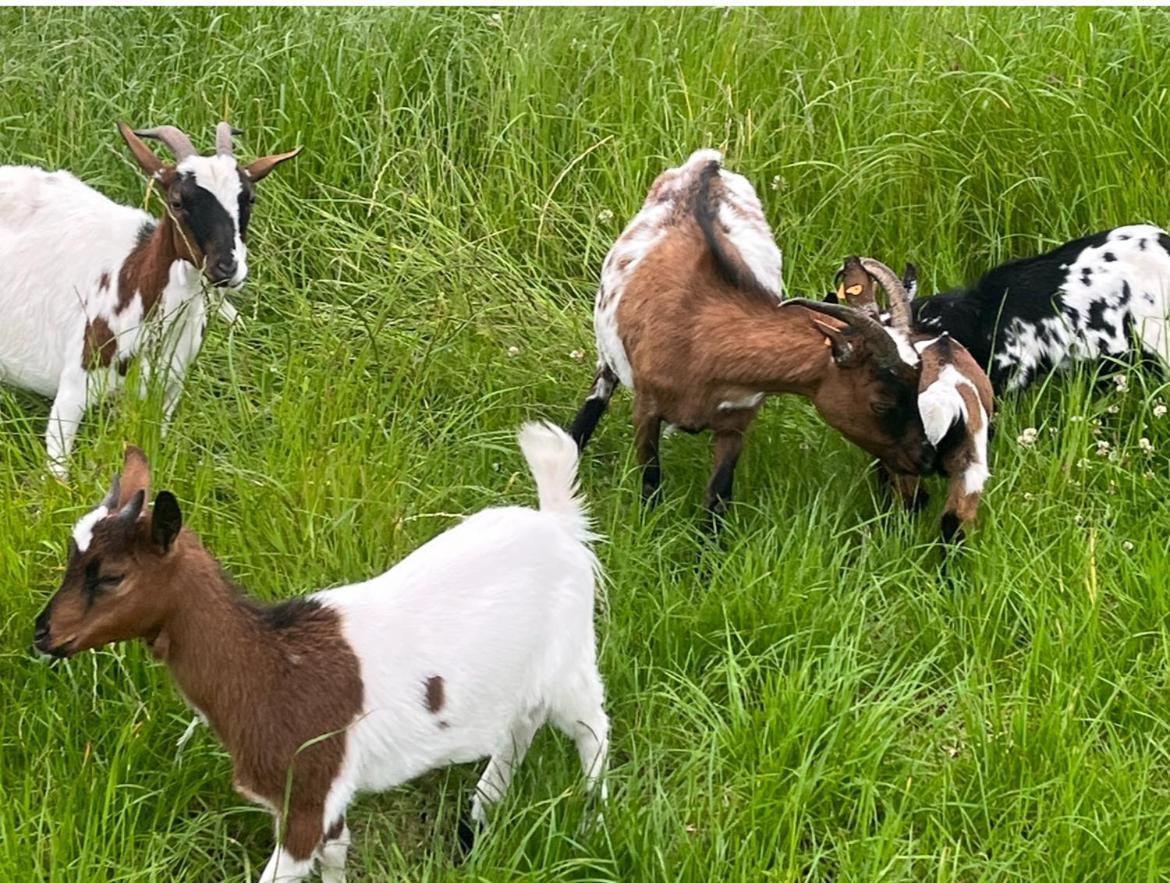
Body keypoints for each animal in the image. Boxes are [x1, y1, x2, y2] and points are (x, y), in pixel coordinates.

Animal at [0, 122, 299, 477]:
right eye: (177, 202)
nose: (226, 267)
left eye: (249, 198)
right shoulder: (73, 389)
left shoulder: (168, 390)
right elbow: (59, 474)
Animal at [32, 425, 608, 879]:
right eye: (70, 556)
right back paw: (481, 813)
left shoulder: (308, 796)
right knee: (522, 724)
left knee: (593, 730)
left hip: (573, 657)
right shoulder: (317, 804)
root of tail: (558, 523)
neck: (271, 670)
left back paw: (589, 825)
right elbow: (337, 855)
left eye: (112, 576)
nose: (42, 634)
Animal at [566, 150, 931, 521]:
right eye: (881, 403)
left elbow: (718, 496)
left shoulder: (737, 419)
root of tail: (707, 162)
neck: (696, 334)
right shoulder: (646, 408)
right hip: (607, 347)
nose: (926, 458)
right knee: (599, 393)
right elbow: (650, 482)